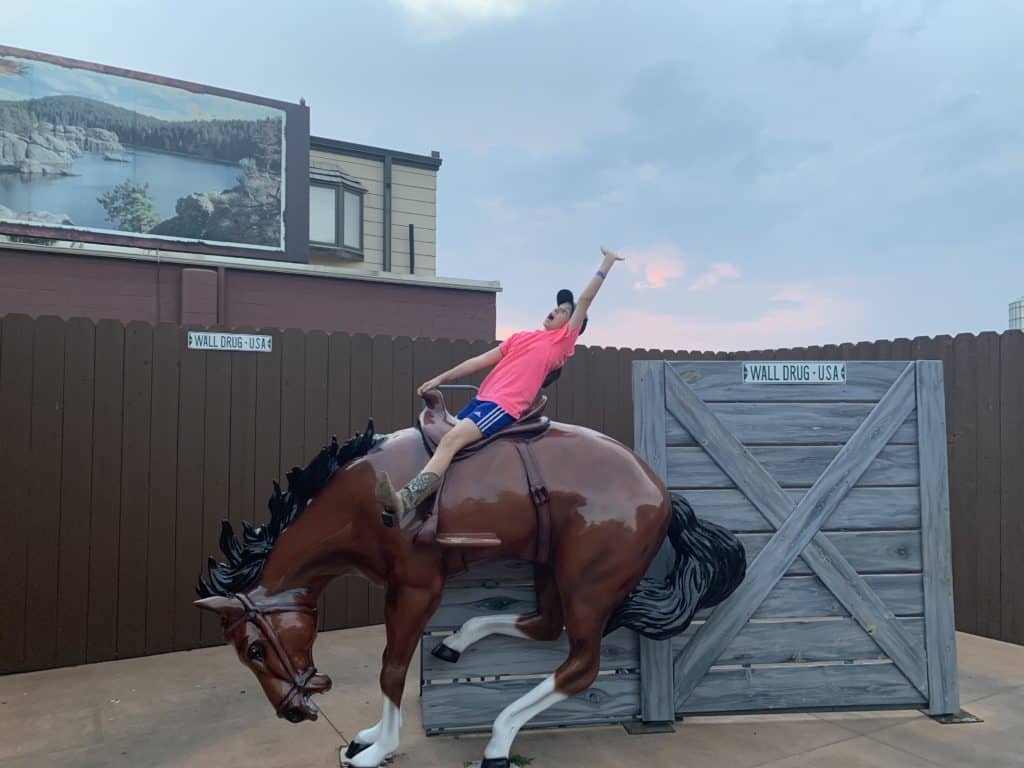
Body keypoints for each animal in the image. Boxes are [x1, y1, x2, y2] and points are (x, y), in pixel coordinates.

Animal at [193, 391, 745, 768]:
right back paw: (457, 642)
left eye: (254, 649)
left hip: (588, 585)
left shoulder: (416, 589)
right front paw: (373, 734)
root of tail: (663, 493)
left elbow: (391, 669)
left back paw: (499, 741)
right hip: (551, 568)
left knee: (580, 666)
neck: (363, 499)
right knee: (546, 625)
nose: (292, 712)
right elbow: (394, 668)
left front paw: (377, 748)